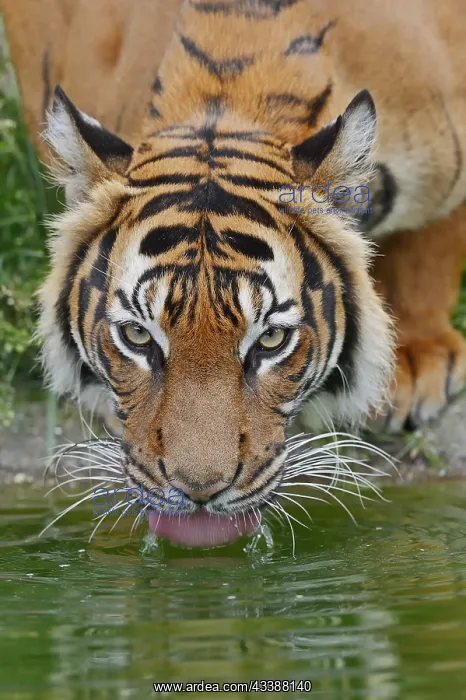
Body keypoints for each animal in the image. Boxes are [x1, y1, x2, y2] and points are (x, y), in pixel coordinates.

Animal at [3, 0, 466, 546]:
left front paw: (417, 358)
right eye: (137, 336)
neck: (227, 96)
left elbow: (434, 243)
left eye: (271, 340)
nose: (199, 491)